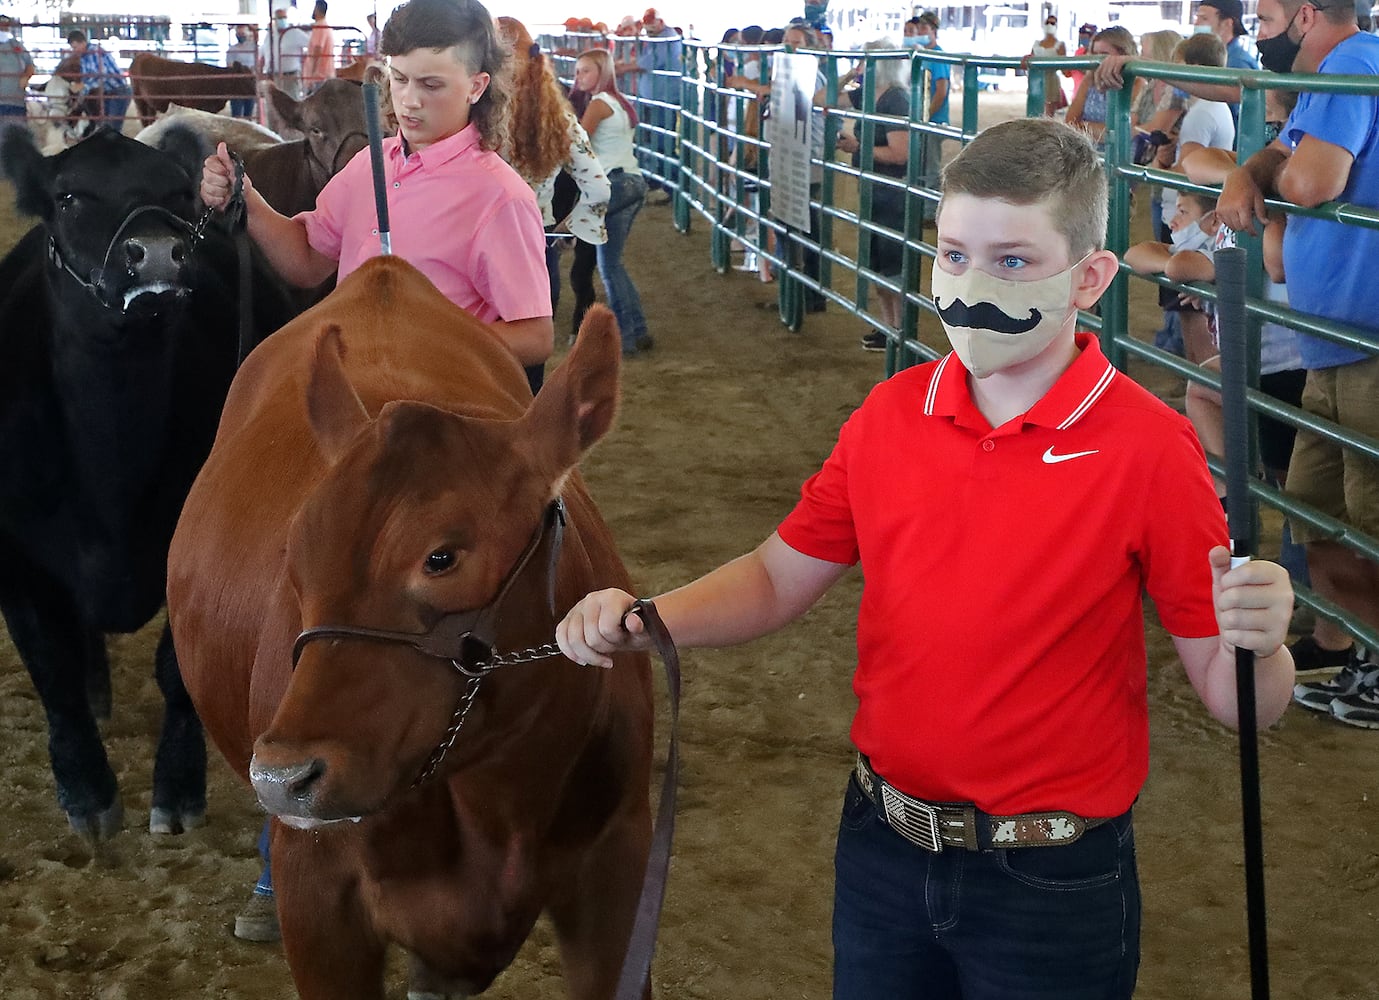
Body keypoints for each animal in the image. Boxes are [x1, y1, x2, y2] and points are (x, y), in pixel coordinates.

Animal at [0, 126, 296, 844]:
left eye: (180, 193)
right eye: (69, 196)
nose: (159, 251)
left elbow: (176, 667)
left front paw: (178, 790)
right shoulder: (15, 558)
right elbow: (51, 669)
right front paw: (87, 794)